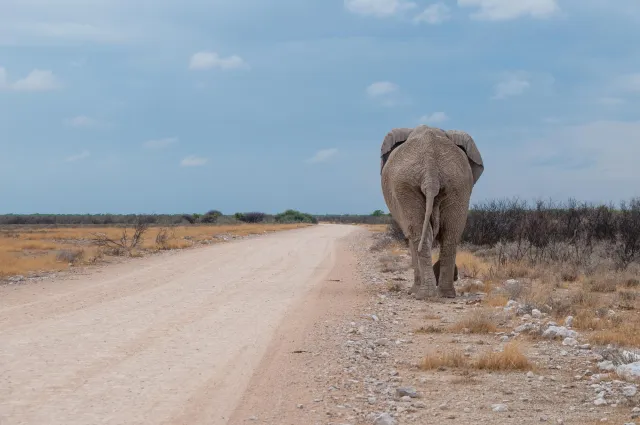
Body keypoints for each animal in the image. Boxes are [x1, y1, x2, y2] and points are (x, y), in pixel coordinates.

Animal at [380, 124, 484, 300]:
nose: (457, 275)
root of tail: (430, 167)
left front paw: (413, 291)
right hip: (457, 183)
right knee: (450, 234)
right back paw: (445, 294)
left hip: (405, 185)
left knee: (418, 234)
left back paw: (423, 294)